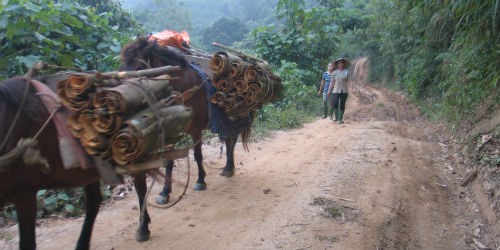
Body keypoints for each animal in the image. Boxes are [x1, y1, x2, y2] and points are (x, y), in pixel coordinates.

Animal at [118, 37, 254, 205]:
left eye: (139, 68)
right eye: (121, 69)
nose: (124, 103)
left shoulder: (196, 130)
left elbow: (197, 155)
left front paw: (201, 181)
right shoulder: (170, 133)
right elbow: (169, 162)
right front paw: (165, 192)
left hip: (236, 117)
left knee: (232, 140)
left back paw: (229, 168)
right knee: (229, 141)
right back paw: (228, 167)